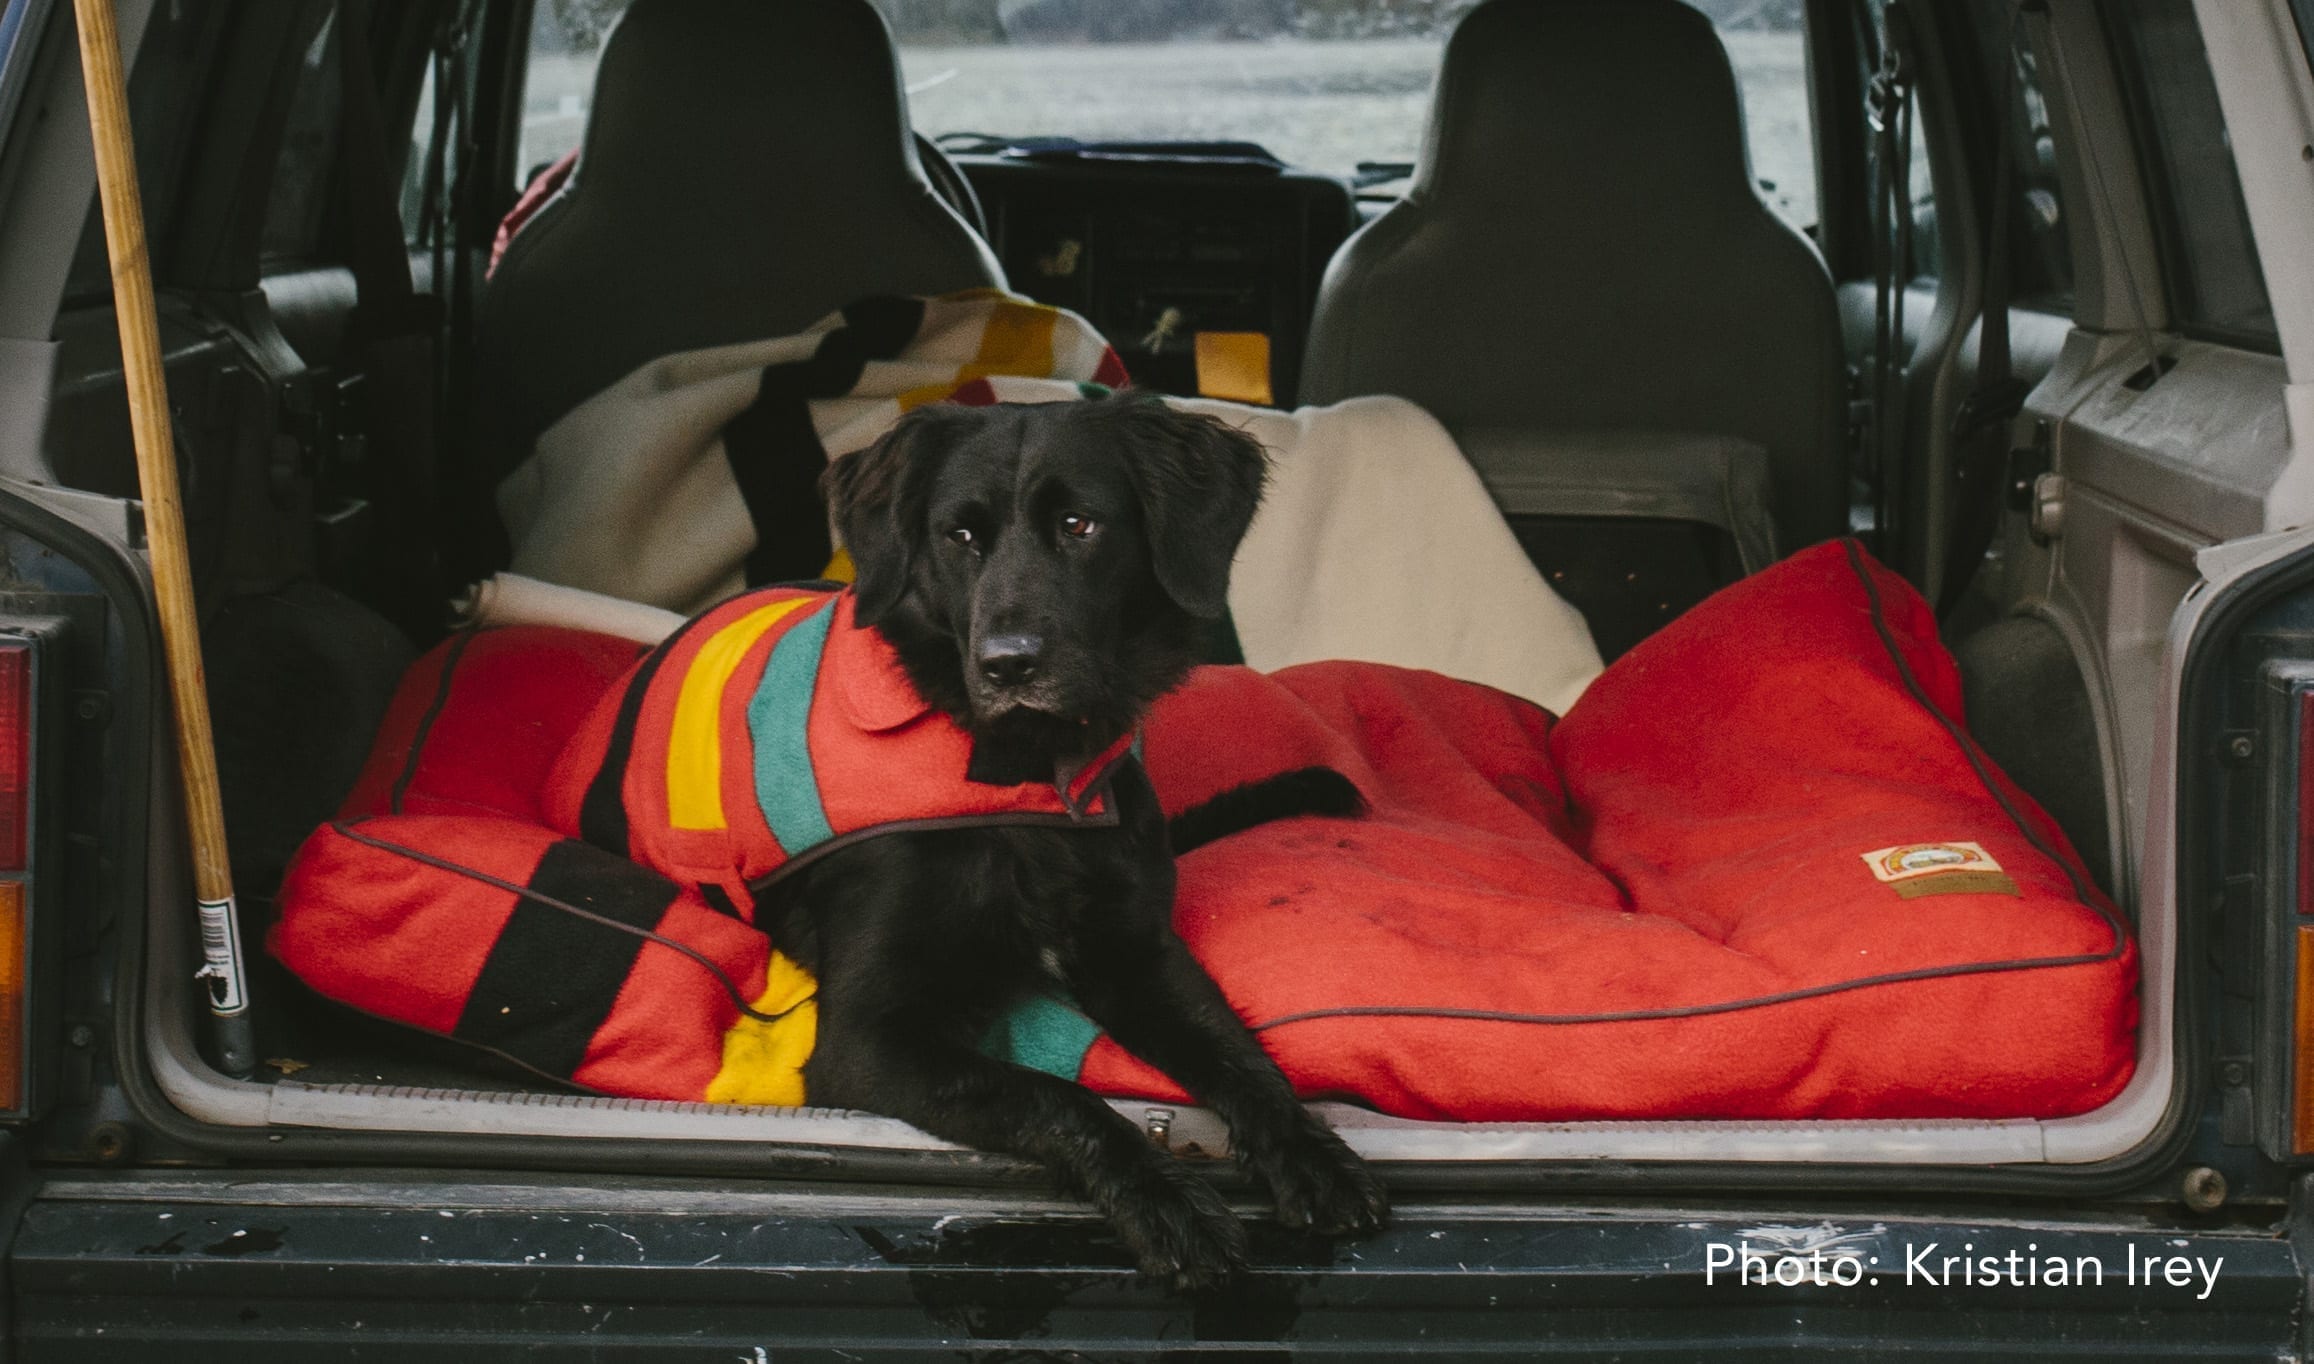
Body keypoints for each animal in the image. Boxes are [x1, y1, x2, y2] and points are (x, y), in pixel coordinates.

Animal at [758, 393, 1379, 1287]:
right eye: (959, 535)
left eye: (1080, 525)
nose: (1008, 665)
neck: (1032, 783)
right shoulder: (865, 1041)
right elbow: (1059, 1096)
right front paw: (1169, 1199)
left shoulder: (1138, 956)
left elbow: (1239, 1053)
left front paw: (1309, 1152)